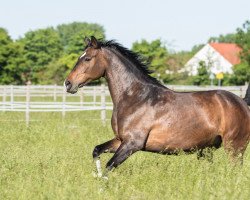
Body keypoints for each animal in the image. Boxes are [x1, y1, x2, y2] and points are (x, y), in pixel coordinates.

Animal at [65, 36, 250, 177]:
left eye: (87, 58)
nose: (68, 83)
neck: (135, 97)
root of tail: (242, 102)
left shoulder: (133, 143)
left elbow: (109, 166)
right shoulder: (120, 140)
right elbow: (96, 150)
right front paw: (95, 176)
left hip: (235, 147)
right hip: (206, 150)